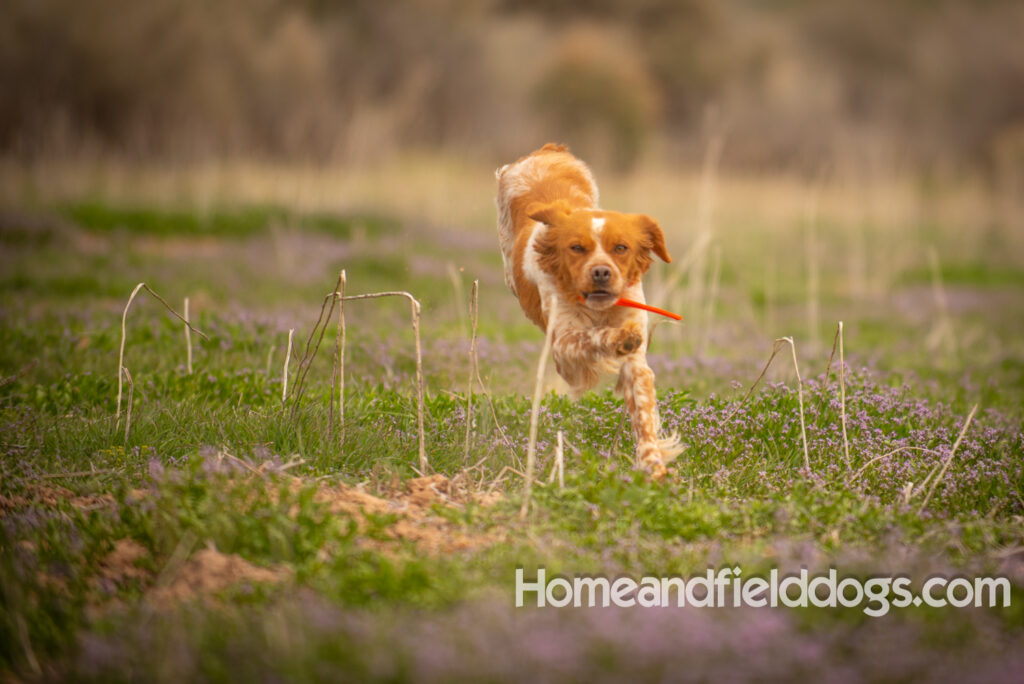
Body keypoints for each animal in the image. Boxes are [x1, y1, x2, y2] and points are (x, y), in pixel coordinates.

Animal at [493, 142, 679, 479]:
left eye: (621, 248)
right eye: (576, 248)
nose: (601, 272)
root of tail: (545, 150)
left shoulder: (637, 363)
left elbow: (644, 415)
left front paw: (653, 466)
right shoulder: (563, 348)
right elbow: (591, 337)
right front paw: (616, 338)